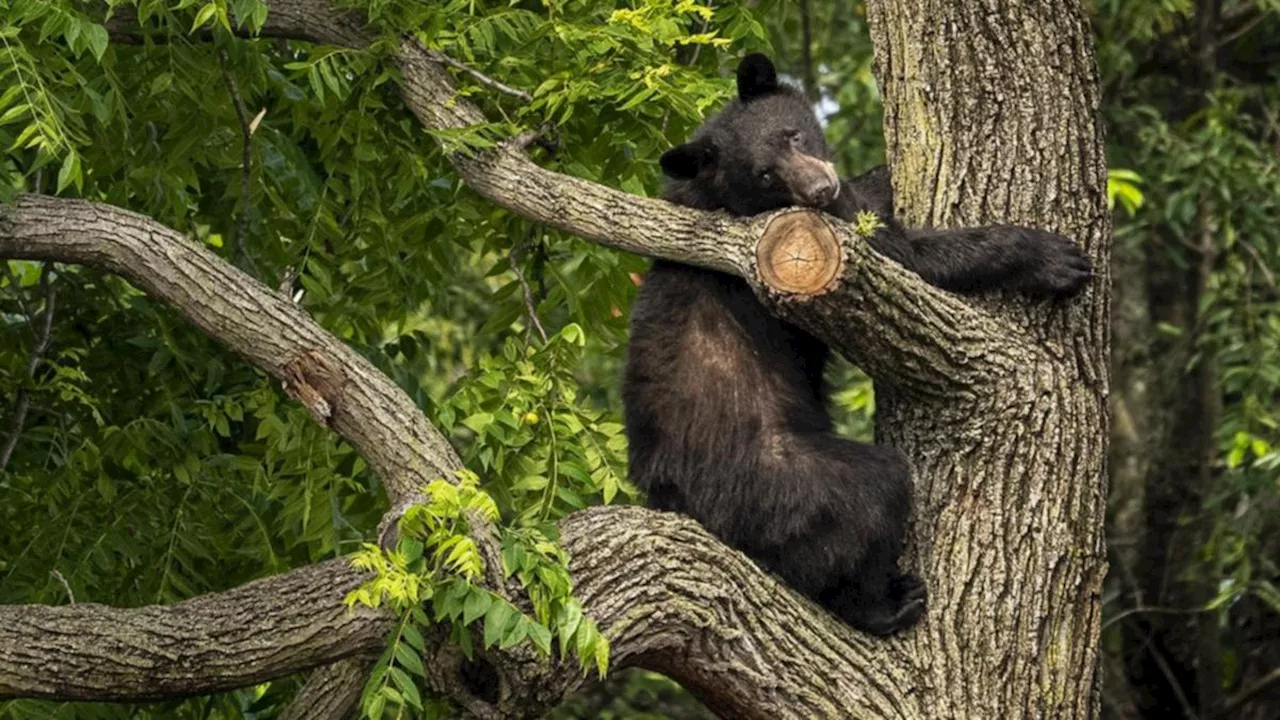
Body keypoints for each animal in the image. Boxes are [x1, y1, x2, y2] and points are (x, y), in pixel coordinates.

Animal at [619, 53, 1090, 630]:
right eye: (765, 174)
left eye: (794, 134)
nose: (821, 189)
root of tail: (676, 500)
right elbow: (907, 258)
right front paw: (1052, 258)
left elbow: (869, 204)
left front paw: (877, 174)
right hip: (783, 480)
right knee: (868, 499)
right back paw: (885, 603)